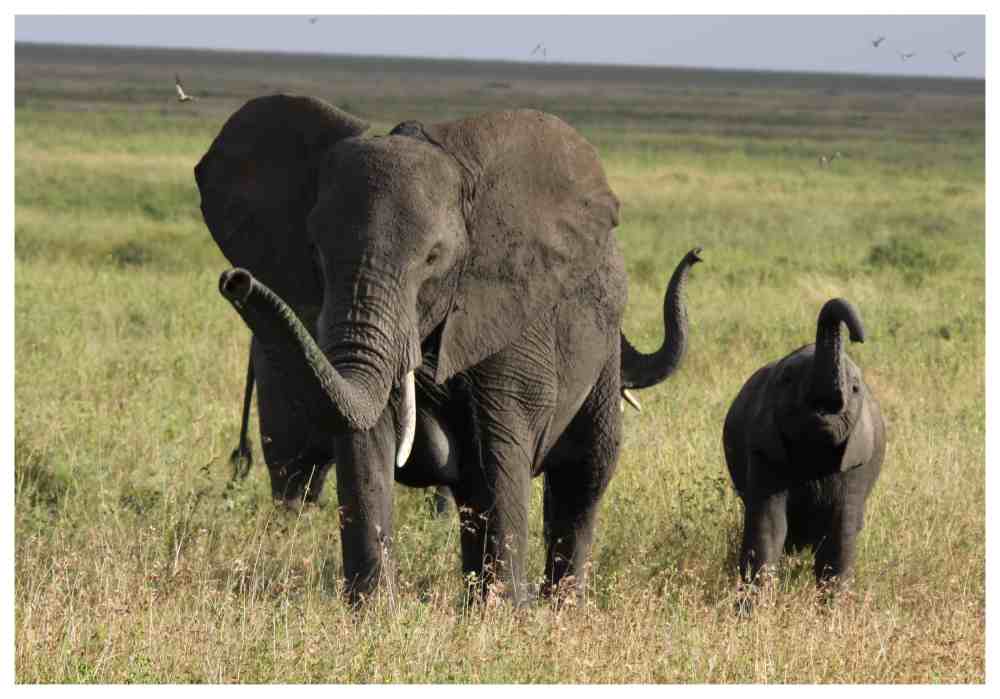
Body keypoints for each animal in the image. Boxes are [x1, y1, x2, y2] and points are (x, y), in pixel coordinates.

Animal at [195, 95, 696, 604]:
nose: (236, 280)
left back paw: (556, 607)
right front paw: (374, 610)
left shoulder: (509, 314)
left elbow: (501, 450)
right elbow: (367, 440)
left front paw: (505, 613)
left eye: (434, 258)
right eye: (314, 251)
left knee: (583, 474)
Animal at [724, 298, 888, 588]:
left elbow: (841, 531)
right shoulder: (765, 448)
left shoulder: (858, 463)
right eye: (787, 379)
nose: (859, 336)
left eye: (855, 388)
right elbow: (769, 526)